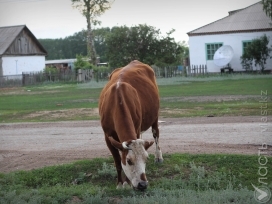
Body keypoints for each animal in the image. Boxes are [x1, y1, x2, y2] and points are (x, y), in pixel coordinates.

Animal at [100, 59, 164, 190]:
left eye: (146, 159)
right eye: (129, 161)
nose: (143, 184)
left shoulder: (137, 128)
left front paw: (127, 183)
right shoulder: (107, 136)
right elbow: (118, 161)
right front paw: (120, 183)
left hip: (155, 116)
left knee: (156, 134)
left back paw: (158, 156)